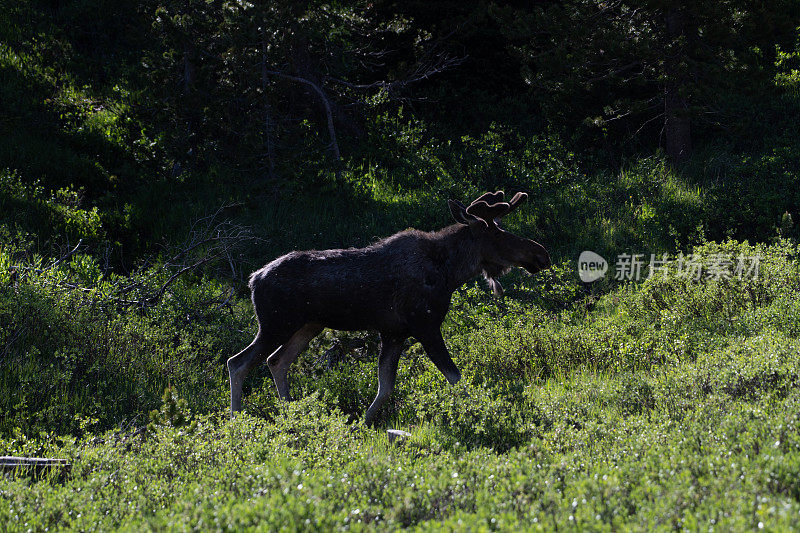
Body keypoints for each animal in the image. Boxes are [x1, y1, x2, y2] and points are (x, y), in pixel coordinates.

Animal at [225, 191, 552, 424]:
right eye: (496, 233)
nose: (542, 254)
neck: (450, 272)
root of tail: (254, 279)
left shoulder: (394, 332)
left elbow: (385, 388)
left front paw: (362, 424)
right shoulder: (424, 325)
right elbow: (456, 378)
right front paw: (482, 411)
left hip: (307, 326)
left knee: (277, 361)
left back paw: (291, 412)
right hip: (275, 324)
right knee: (238, 362)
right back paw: (237, 419)